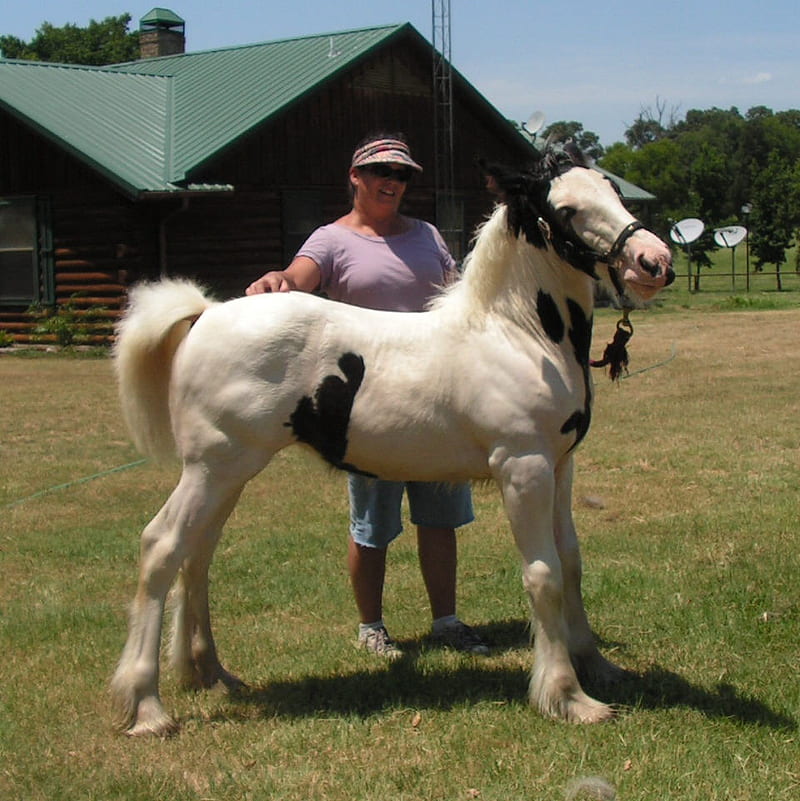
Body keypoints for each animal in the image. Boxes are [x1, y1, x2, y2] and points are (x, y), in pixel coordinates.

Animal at [111, 145, 676, 736]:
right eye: (566, 209)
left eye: (613, 191)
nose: (653, 262)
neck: (517, 333)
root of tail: (207, 314)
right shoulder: (524, 467)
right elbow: (543, 575)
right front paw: (567, 695)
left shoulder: (561, 466)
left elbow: (571, 562)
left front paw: (597, 666)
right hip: (214, 467)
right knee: (162, 547)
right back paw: (147, 706)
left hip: (227, 475)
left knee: (197, 554)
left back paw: (209, 672)